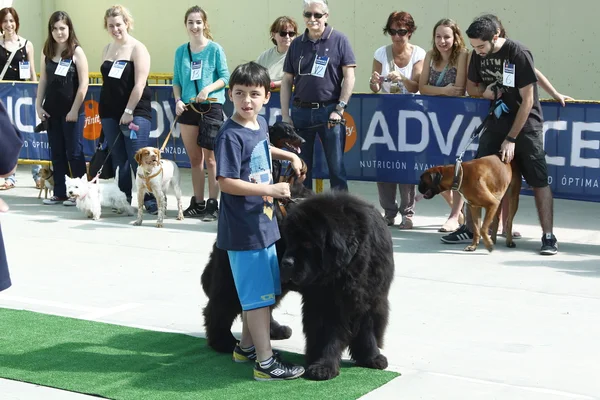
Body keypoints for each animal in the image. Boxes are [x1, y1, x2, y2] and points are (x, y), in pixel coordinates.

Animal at [280, 192, 396, 380]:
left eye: (307, 243)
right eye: (289, 241)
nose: (286, 262)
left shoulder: (371, 298)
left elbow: (368, 330)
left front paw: (372, 357)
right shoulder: (326, 304)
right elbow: (328, 335)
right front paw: (323, 366)